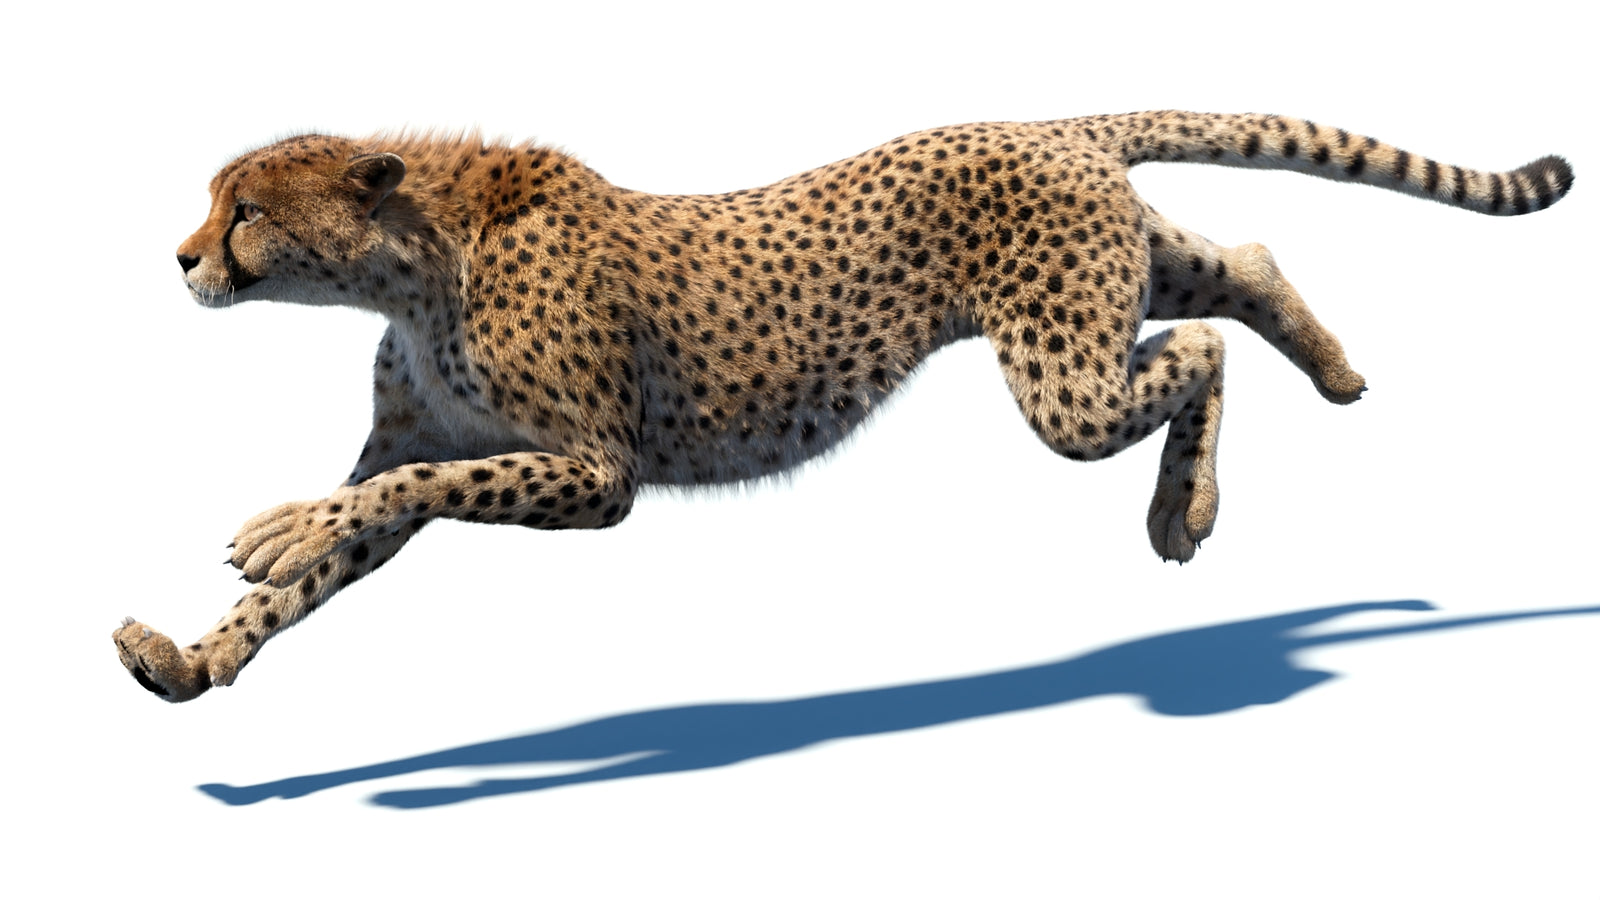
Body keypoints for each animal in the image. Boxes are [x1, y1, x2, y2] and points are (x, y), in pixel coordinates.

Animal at [113, 111, 1573, 702]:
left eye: (244, 211)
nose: (178, 257)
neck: (418, 269)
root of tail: (1054, 125)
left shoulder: (596, 474)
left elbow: (395, 494)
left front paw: (280, 529)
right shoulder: (455, 446)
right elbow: (359, 531)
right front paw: (190, 660)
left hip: (1065, 376)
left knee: (1201, 342)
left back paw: (1186, 510)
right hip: (1118, 275)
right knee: (1243, 268)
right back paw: (1333, 372)